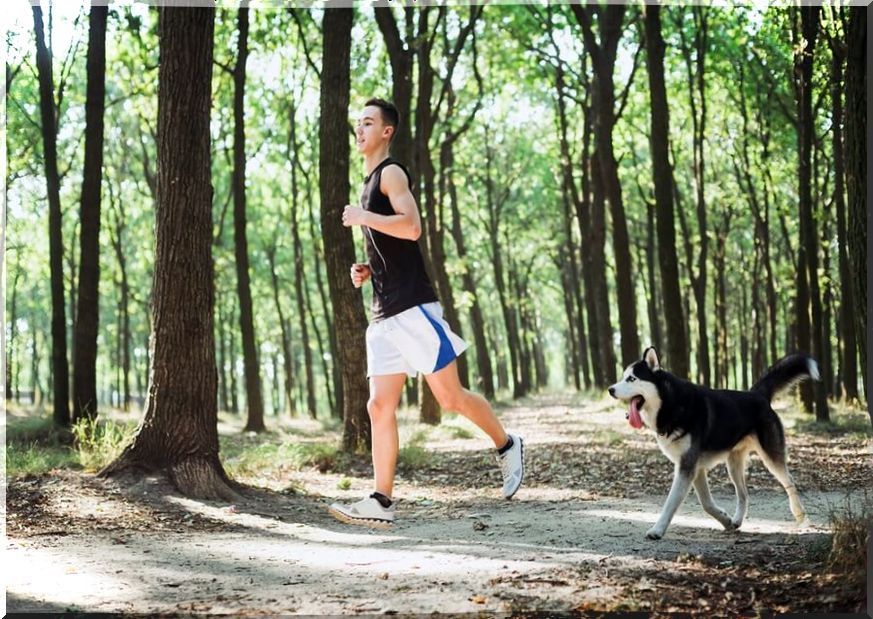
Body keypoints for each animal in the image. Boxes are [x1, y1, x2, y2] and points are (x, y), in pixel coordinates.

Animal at [608, 348, 816, 544]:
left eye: (631, 378)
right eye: (623, 377)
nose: (610, 389)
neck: (671, 403)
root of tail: (756, 394)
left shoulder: (687, 467)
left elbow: (671, 503)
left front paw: (657, 530)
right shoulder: (695, 468)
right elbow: (706, 503)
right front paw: (725, 520)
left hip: (770, 457)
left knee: (789, 481)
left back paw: (800, 515)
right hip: (733, 465)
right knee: (744, 494)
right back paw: (737, 520)